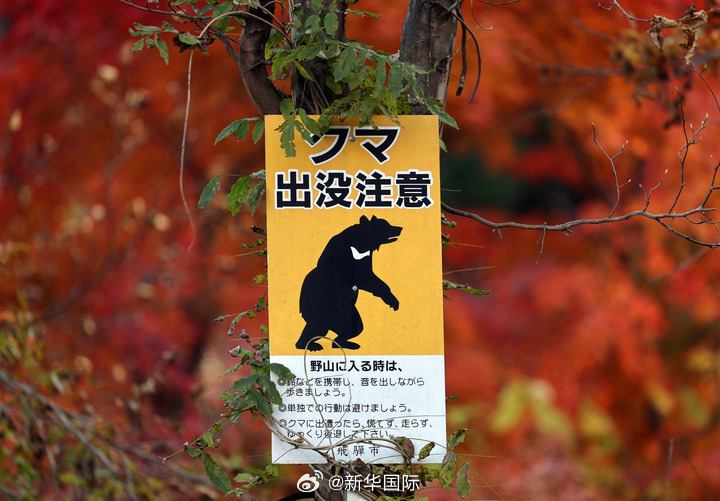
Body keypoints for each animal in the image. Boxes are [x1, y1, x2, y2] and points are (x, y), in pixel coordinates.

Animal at [295, 215, 402, 352]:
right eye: (385, 225)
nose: (400, 228)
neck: (360, 245)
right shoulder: (343, 257)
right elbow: (364, 278)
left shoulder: (364, 257)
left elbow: (369, 278)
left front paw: (392, 301)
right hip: (320, 307)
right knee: (318, 325)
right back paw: (310, 345)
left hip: (348, 312)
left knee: (354, 327)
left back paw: (344, 343)